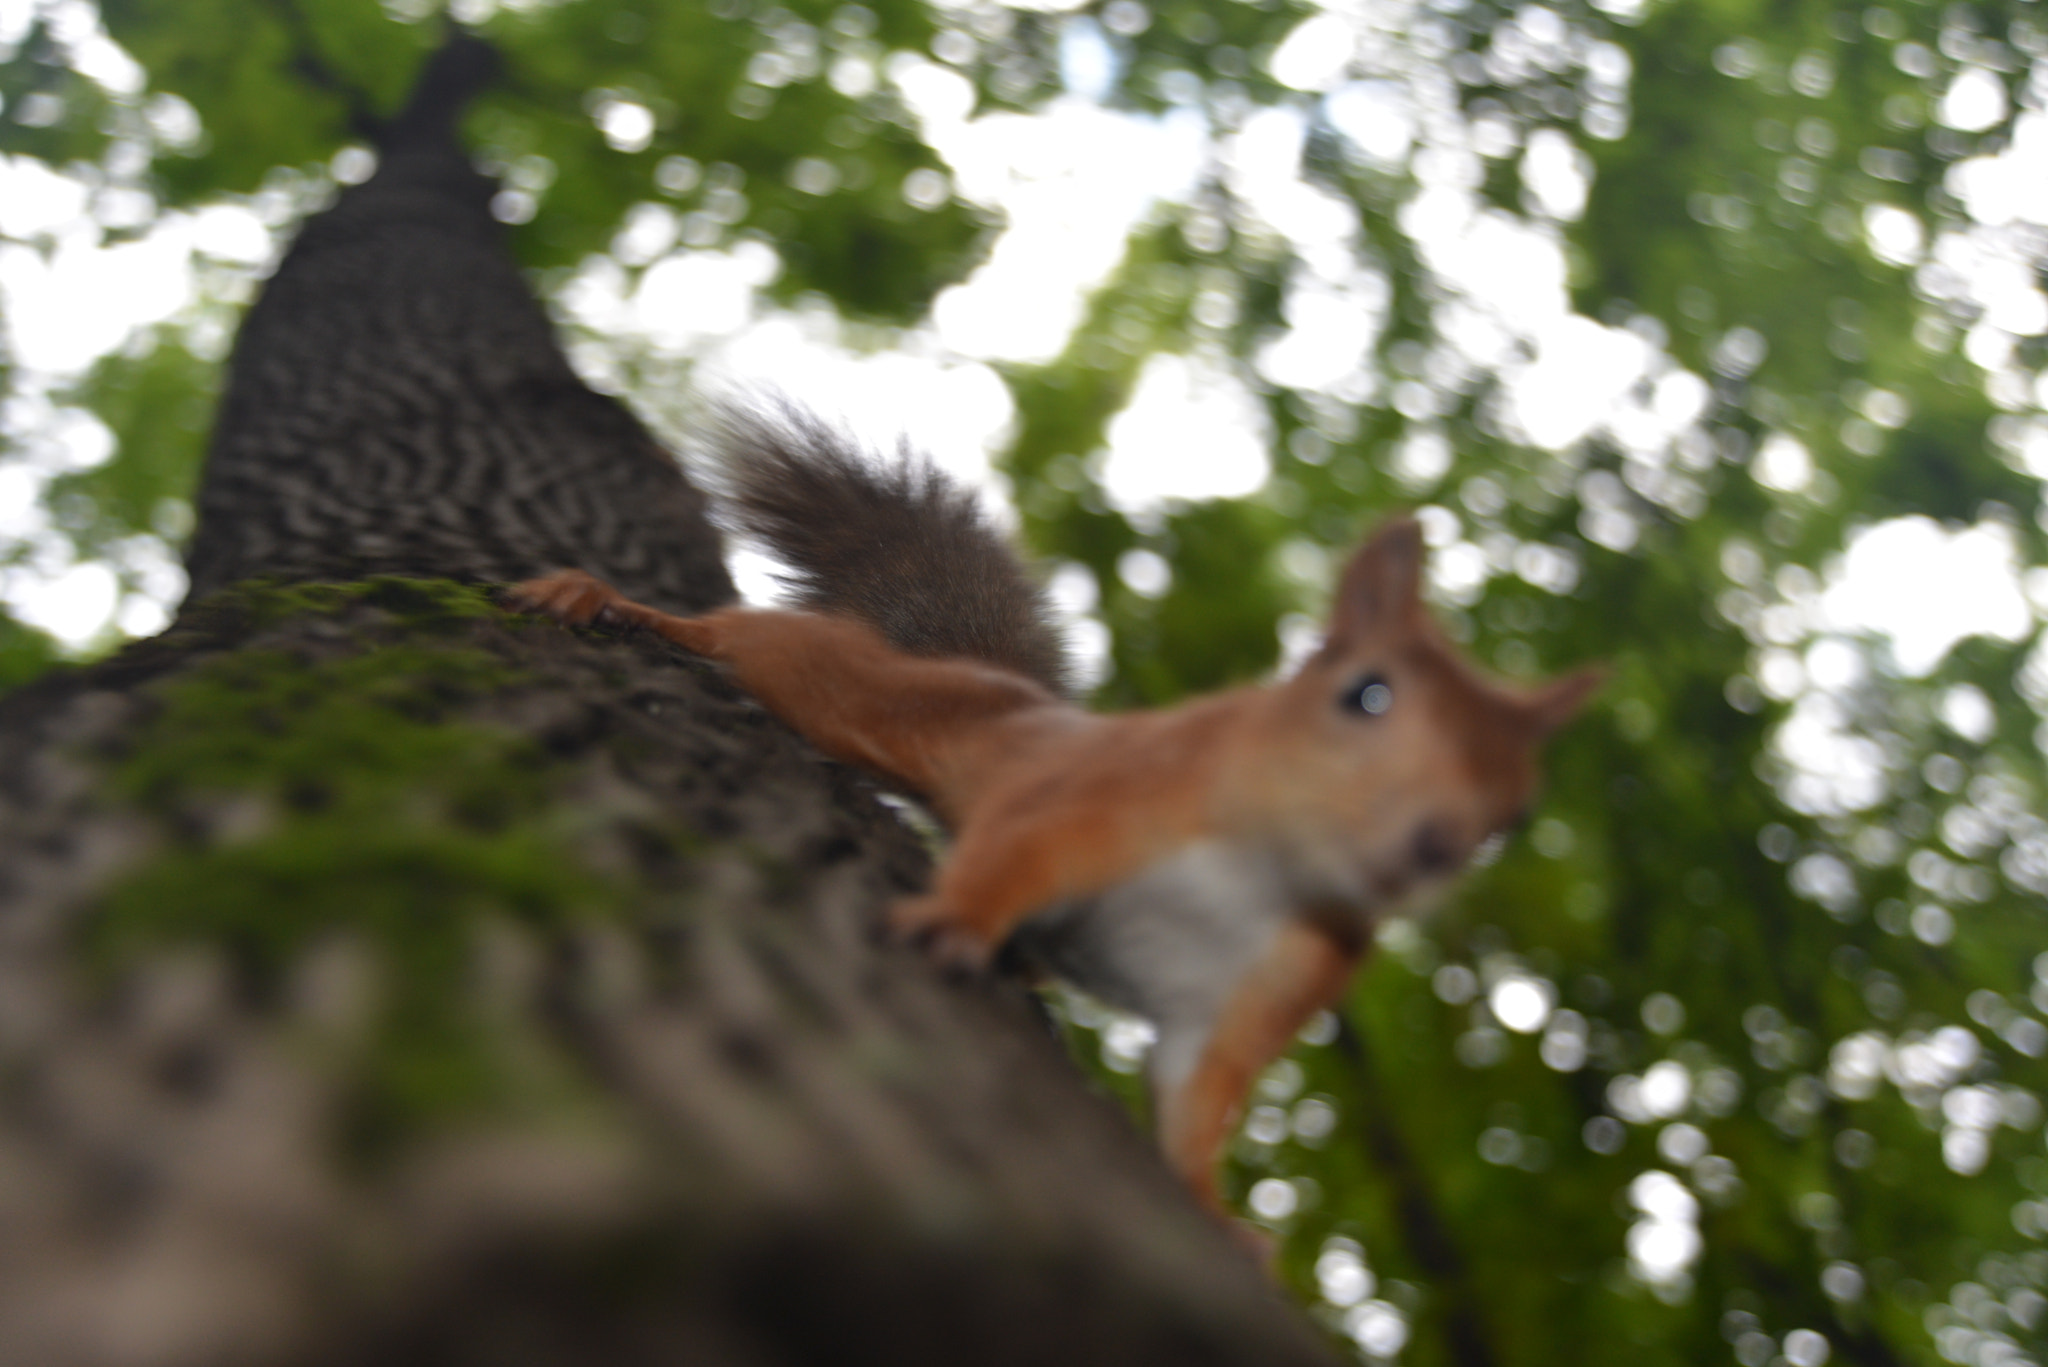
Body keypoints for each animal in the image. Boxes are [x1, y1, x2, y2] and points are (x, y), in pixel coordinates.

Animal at [512, 401, 1597, 1221]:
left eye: (1516, 805)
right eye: (1364, 694)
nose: (1431, 843)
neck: (1261, 871)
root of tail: (999, 683)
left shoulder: (1264, 985)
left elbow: (1197, 1101)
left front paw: (1219, 1221)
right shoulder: (1089, 795)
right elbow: (1014, 854)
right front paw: (956, 919)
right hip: (846, 685)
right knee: (742, 637)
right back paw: (603, 597)